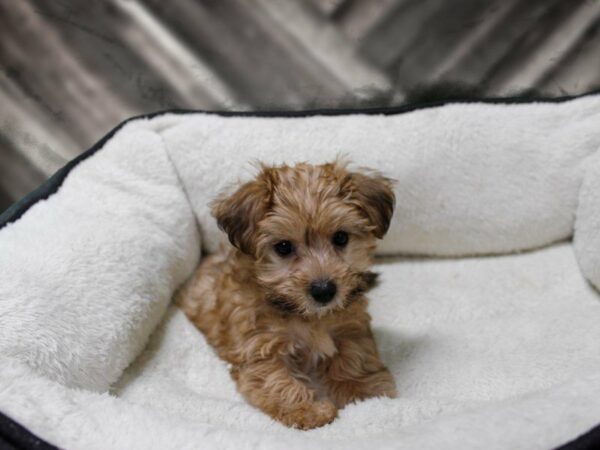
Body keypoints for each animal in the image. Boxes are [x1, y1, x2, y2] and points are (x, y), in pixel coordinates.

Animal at [176, 159, 396, 428]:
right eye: (283, 247)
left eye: (341, 237)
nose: (324, 291)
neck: (307, 316)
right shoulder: (259, 346)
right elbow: (278, 382)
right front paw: (309, 410)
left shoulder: (350, 327)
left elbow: (353, 358)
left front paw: (364, 393)